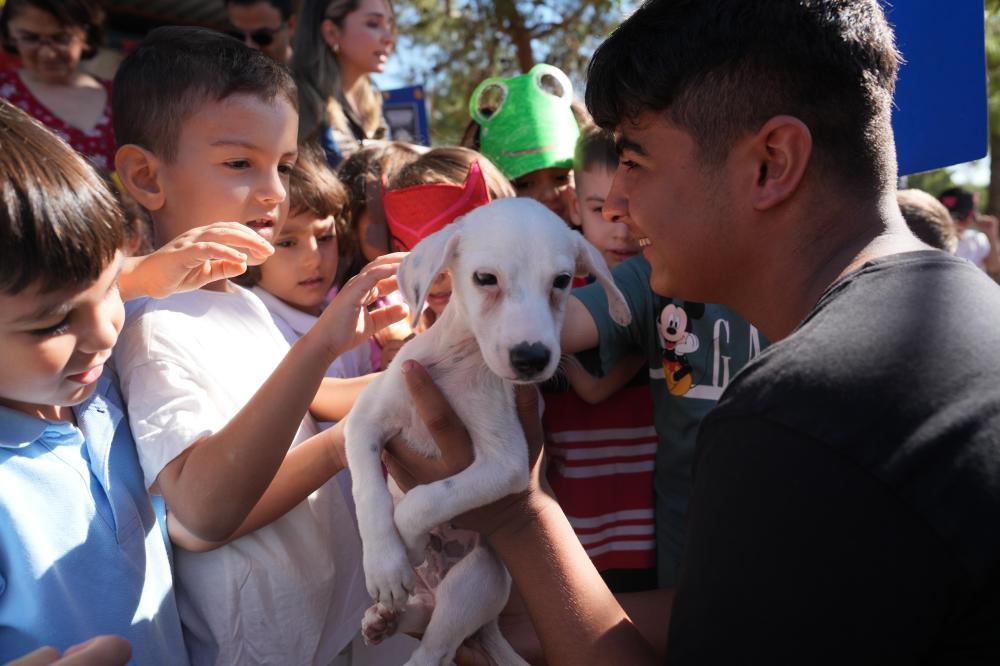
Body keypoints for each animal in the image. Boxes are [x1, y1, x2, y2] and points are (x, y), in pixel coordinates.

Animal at [342, 197, 624, 664]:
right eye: (485, 279)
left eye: (563, 281)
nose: (532, 358)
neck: (461, 358)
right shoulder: (364, 419)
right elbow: (369, 493)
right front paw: (386, 564)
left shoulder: (506, 464)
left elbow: (421, 500)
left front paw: (410, 543)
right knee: (421, 616)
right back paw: (385, 618)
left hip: (479, 579)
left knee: (436, 647)